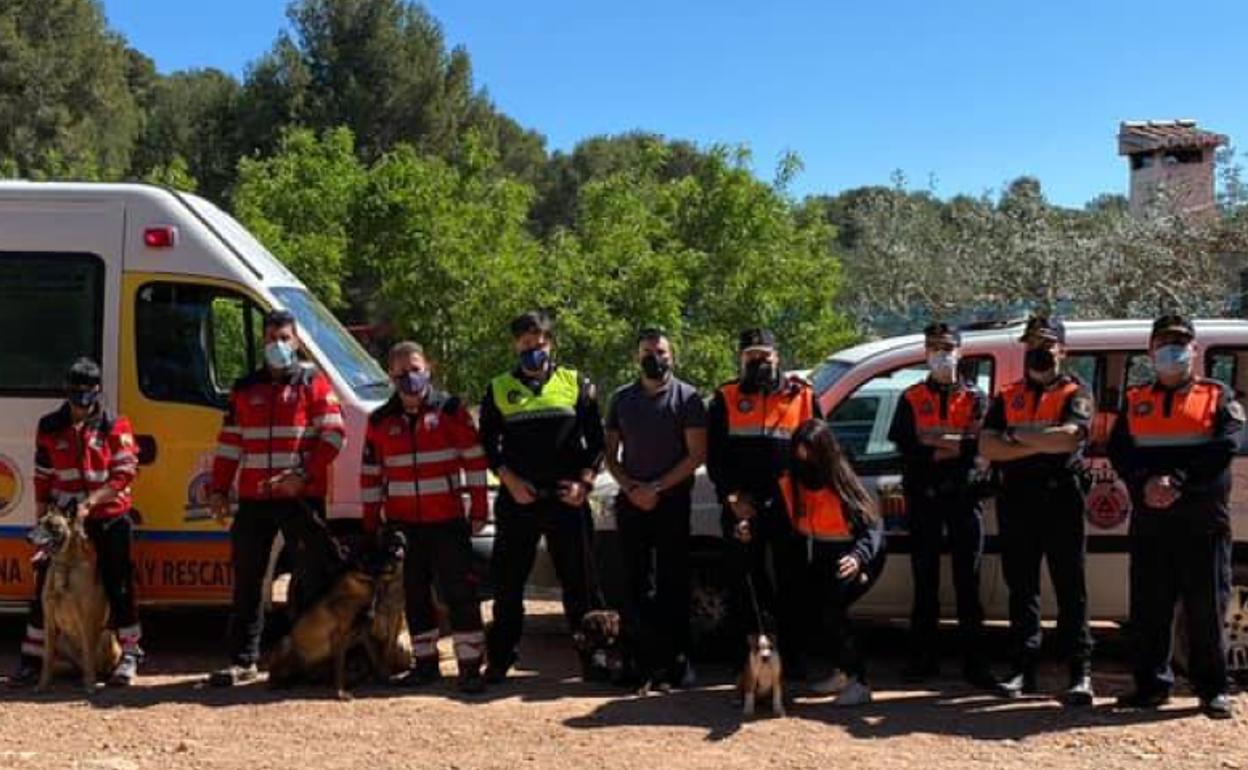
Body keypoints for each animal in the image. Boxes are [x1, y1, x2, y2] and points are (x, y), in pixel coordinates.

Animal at [27, 506, 121, 693]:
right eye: (39, 523)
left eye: (52, 525)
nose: (28, 537)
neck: (65, 565)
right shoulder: (49, 622)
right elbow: (47, 659)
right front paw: (43, 684)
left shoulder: (87, 621)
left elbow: (88, 654)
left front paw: (90, 686)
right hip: (62, 640)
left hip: (106, 636)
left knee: (98, 667)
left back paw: (100, 679)